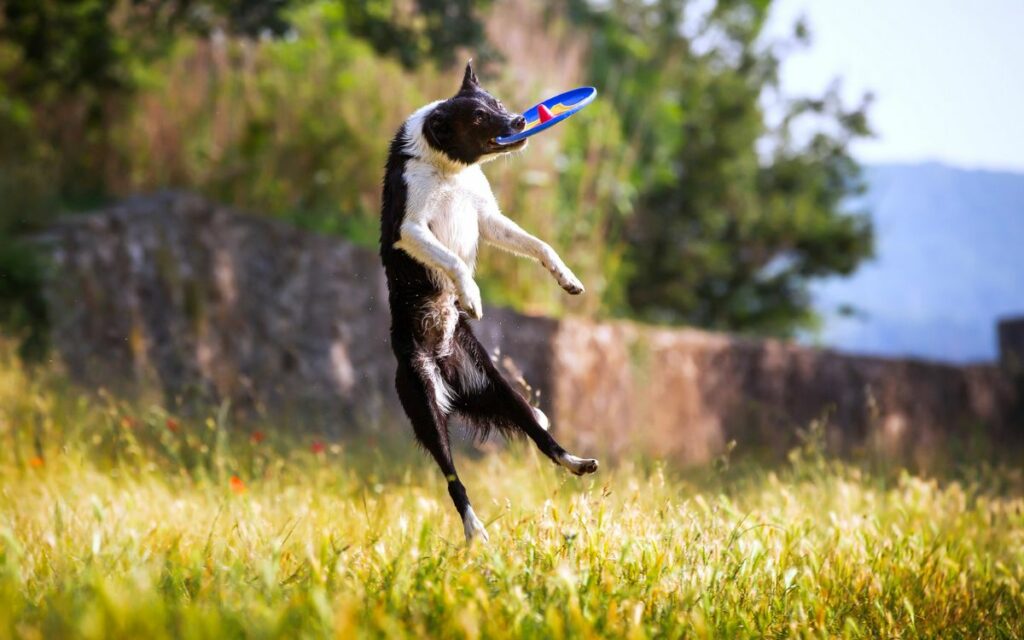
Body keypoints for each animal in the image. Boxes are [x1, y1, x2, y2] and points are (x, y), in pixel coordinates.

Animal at [380, 59, 598, 540]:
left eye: (496, 103)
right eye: (479, 118)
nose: (519, 120)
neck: (449, 169)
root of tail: (445, 366)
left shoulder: (488, 218)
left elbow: (538, 246)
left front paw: (568, 278)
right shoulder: (411, 230)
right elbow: (454, 262)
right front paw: (472, 297)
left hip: (499, 387)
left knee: (540, 436)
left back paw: (575, 461)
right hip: (424, 401)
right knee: (453, 479)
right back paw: (474, 529)